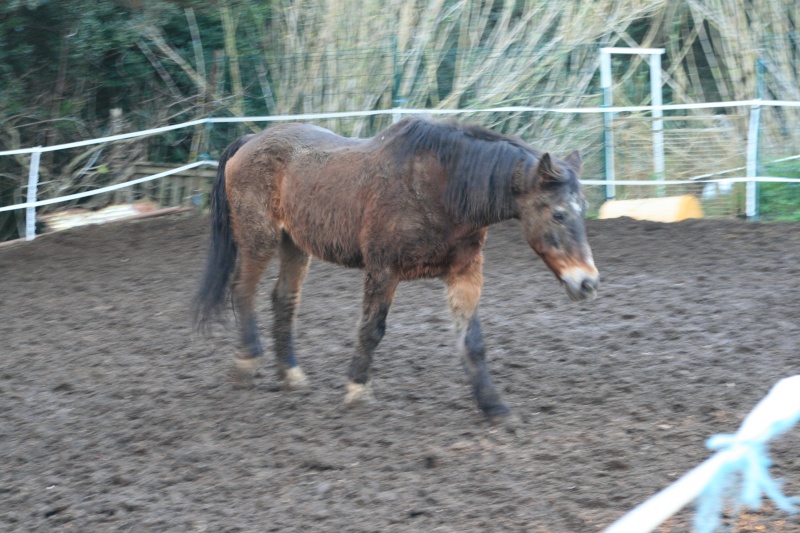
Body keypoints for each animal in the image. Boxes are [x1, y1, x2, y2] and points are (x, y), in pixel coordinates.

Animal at [191, 115, 596, 420]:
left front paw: (494, 406)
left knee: (283, 301)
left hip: (294, 245)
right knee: (243, 292)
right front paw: (357, 389)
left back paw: (290, 374)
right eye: (558, 214)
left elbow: (473, 342)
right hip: (259, 239)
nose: (588, 282)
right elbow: (372, 330)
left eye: (584, 209)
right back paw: (246, 365)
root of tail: (251, 139)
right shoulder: (383, 269)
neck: (440, 188)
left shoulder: (464, 273)